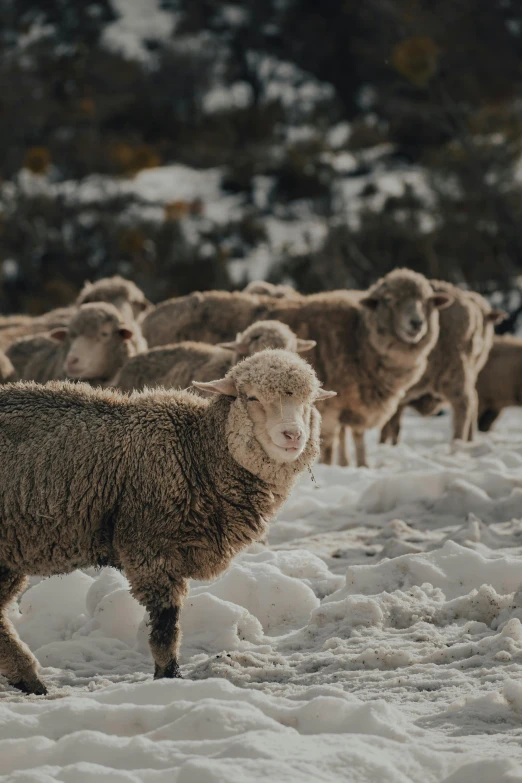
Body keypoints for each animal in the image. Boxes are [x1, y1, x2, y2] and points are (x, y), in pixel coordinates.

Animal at [0, 352, 334, 696]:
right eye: (251, 397)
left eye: (309, 401)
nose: (293, 435)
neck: (197, 452)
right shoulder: (150, 549)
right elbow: (166, 626)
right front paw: (169, 678)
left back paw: (28, 678)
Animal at [142, 270, 450, 466]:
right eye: (388, 300)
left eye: (426, 301)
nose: (416, 324)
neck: (358, 335)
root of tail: (153, 313)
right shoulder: (335, 409)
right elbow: (334, 439)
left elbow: (354, 437)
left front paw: (358, 466)